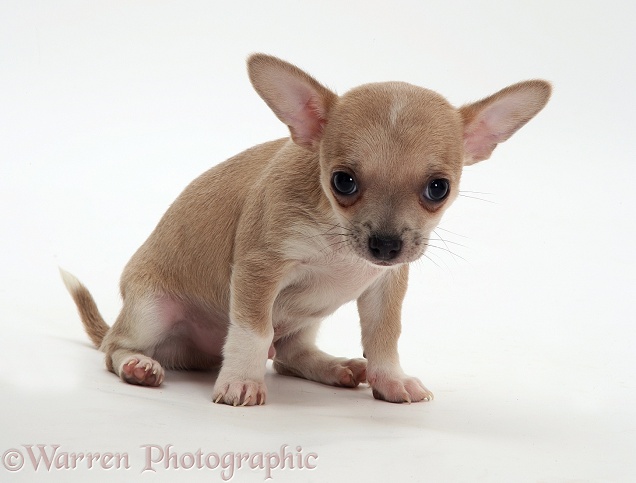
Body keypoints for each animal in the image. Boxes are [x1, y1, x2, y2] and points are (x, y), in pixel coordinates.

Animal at [63, 54, 552, 406]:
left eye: (438, 189)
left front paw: (390, 380)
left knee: (290, 356)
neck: (336, 240)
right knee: (114, 348)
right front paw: (240, 381)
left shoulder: (385, 286)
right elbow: (252, 331)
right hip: (151, 310)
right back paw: (138, 366)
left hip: (304, 323)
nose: (386, 245)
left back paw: (334, 367)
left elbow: (383, 337)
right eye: (343, 182)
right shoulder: (258, 271)